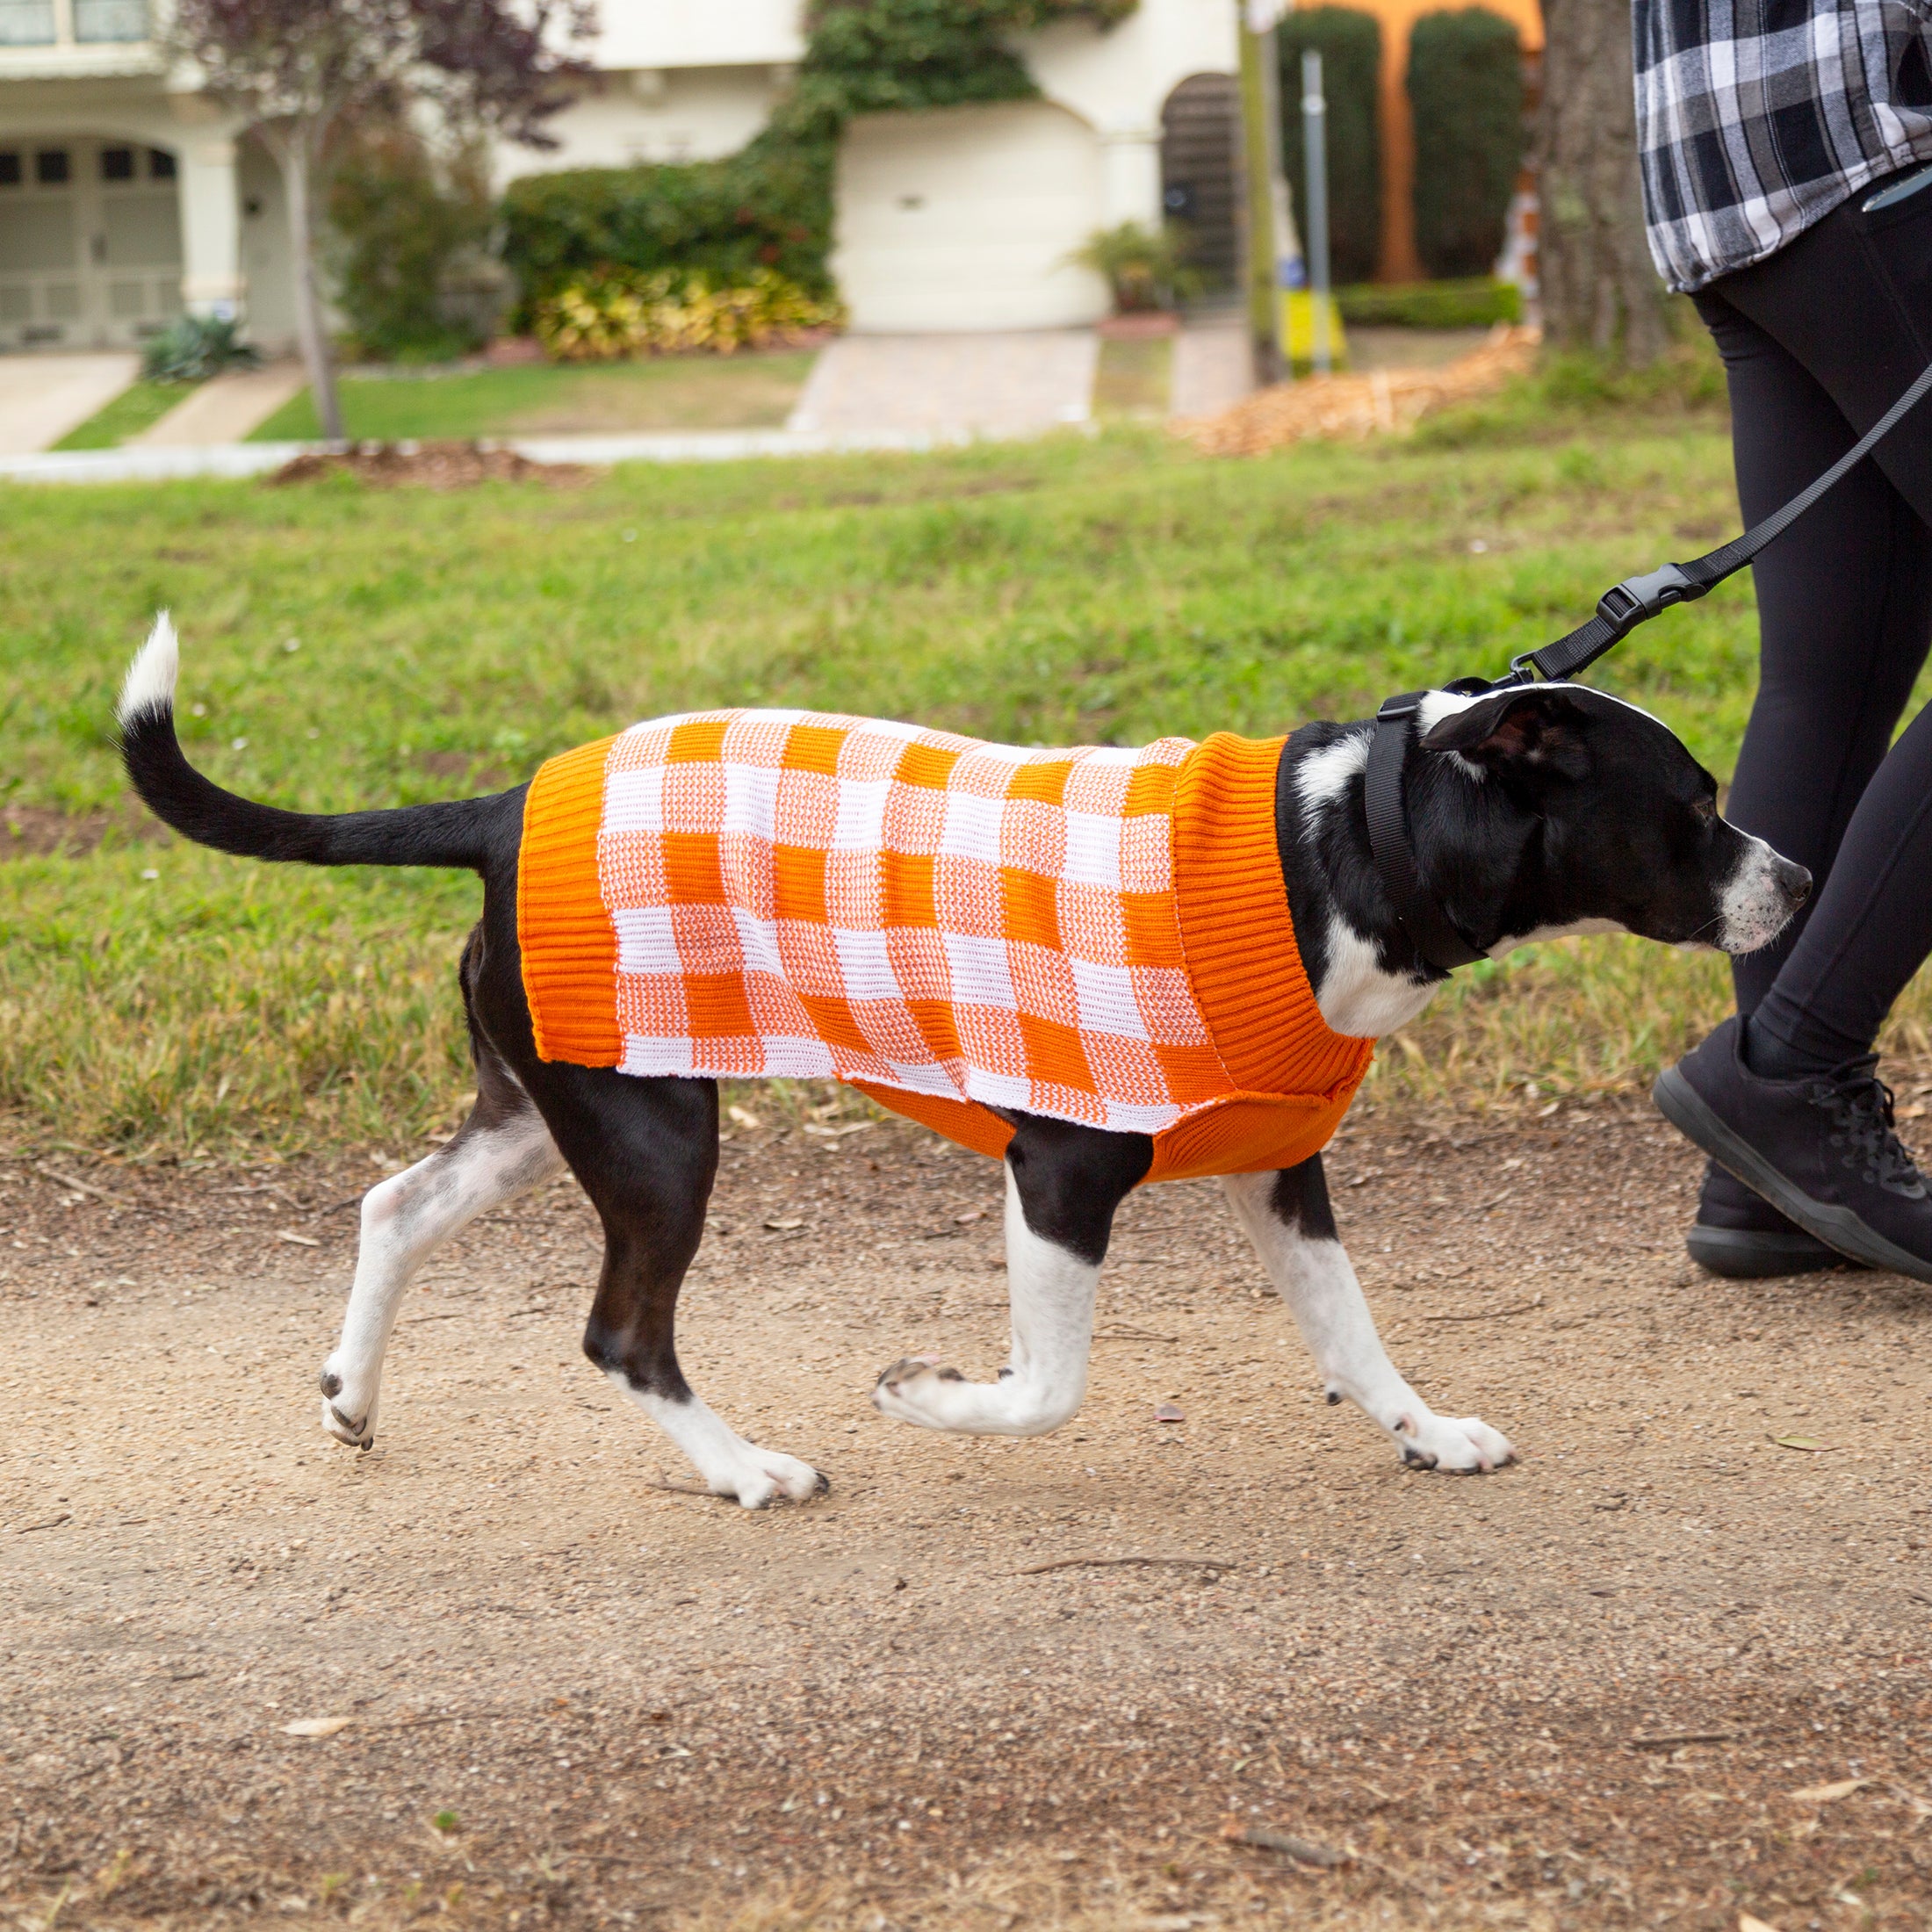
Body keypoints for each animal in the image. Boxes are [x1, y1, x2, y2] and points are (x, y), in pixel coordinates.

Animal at [120, 618, 1808, 1507]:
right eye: (1696, 803)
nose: (1795, 879)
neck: (1346, 844)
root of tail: (504, 802)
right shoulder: (1060, 1171)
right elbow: (1046, 1389)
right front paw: (929, 1399)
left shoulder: (1279, 1169)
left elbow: (1356, 1338)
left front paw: (1427, 1430)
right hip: (659, 1136)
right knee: (620, 1332)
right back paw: (743, 1468)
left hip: (554, 1106)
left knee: (395, 1206)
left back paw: (353, 1392)